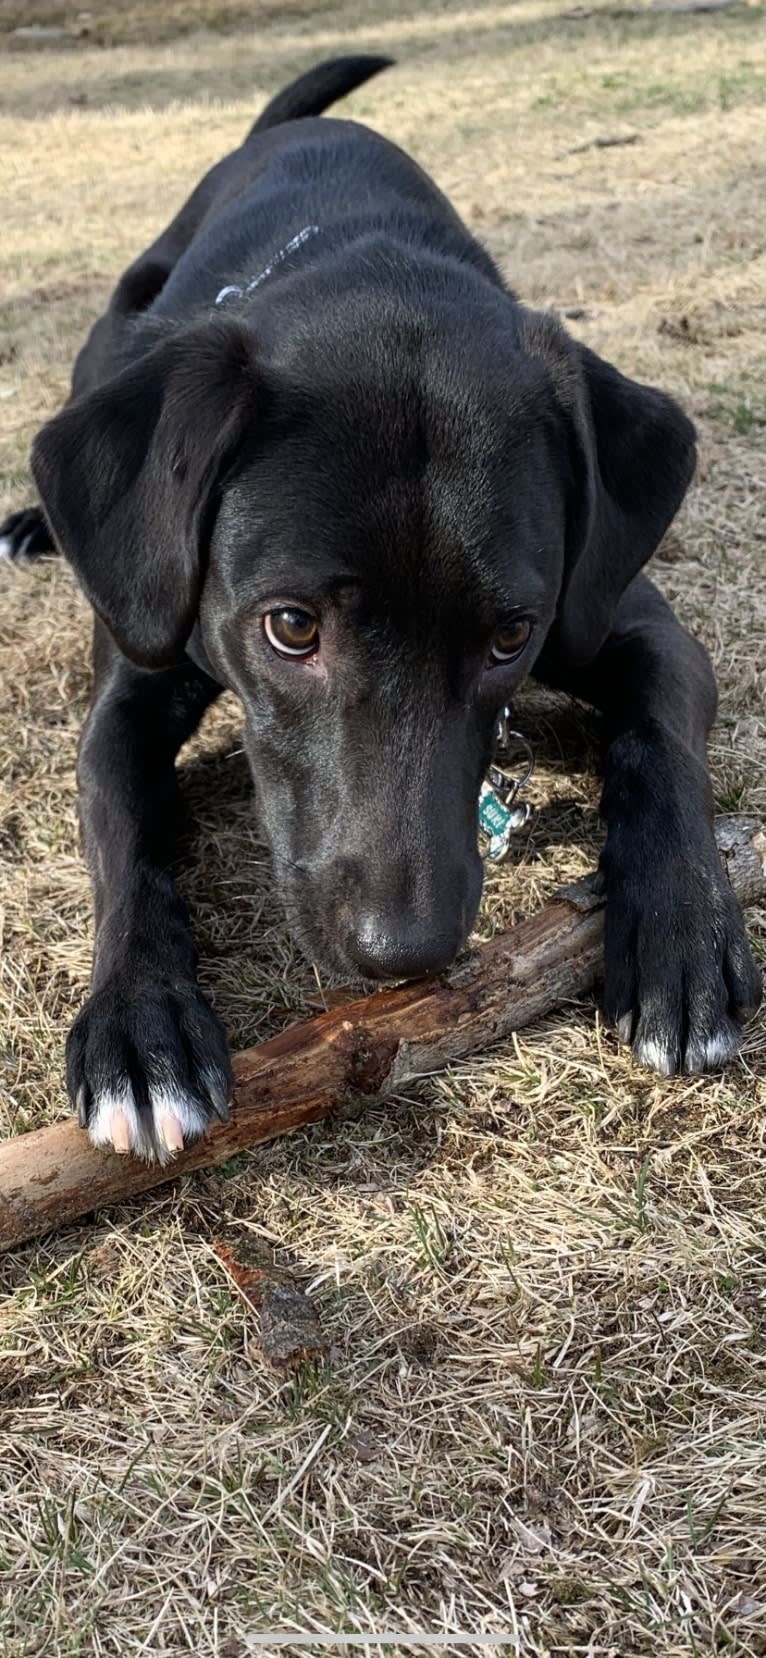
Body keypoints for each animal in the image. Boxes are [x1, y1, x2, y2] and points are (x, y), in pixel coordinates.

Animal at [2, 58, 759, 1160]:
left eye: (511, 635)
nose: (408, 951)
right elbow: (124, 833)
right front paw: (139, 1026)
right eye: (291, 626)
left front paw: (680, 934)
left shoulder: (636, 625)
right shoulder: (127, 688)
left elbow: (655, 741)